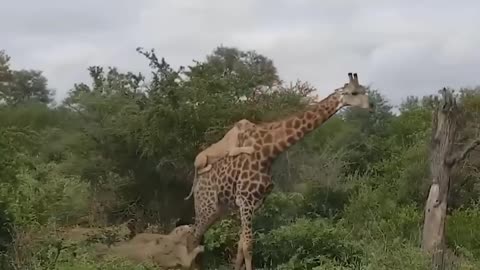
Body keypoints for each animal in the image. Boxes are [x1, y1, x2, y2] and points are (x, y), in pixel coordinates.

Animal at [189, 72, 374, 270]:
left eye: (364, 90)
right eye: (354, 93)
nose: (372, 106)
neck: (269, 151)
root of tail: (196, 184)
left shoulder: (256, 202)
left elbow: (240, 246)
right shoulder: (245, 200)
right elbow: (248, 245)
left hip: (219, 210)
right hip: (207, 207)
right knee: (193, 237)